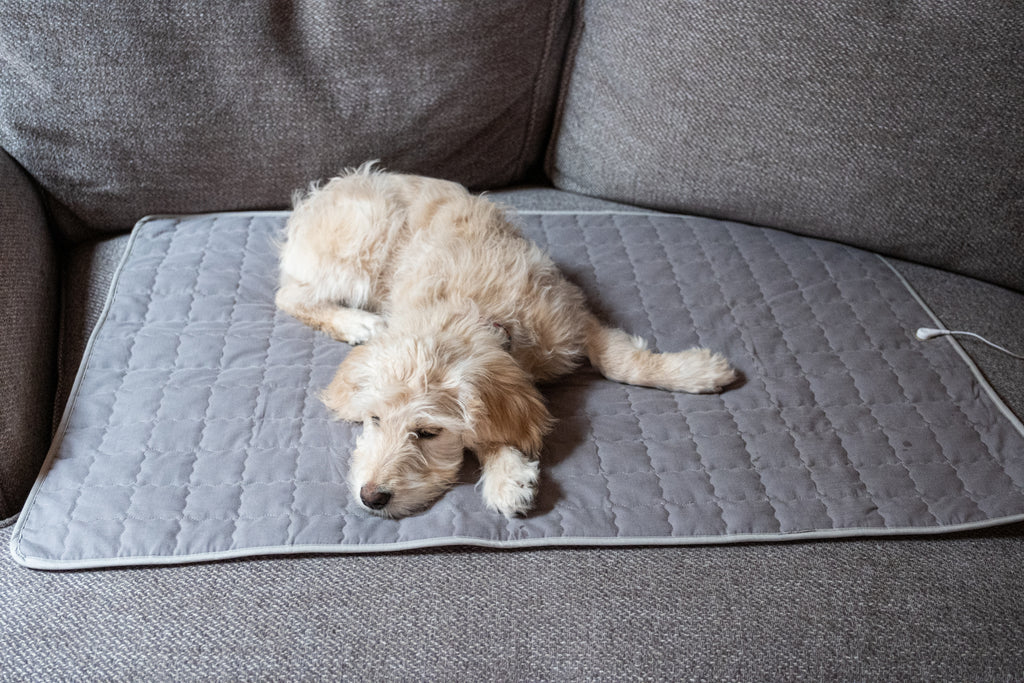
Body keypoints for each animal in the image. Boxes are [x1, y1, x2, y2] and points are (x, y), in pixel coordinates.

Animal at [276, 163, 733, 518]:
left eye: (428, 433)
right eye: (373, 419)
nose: (370, 498)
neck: (471, 310)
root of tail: (317, 195)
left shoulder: (571, 315)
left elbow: (621, 363)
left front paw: (695, 371)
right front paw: (507, 475)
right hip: (361, 240)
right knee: (290, 295)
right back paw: (357, 322)